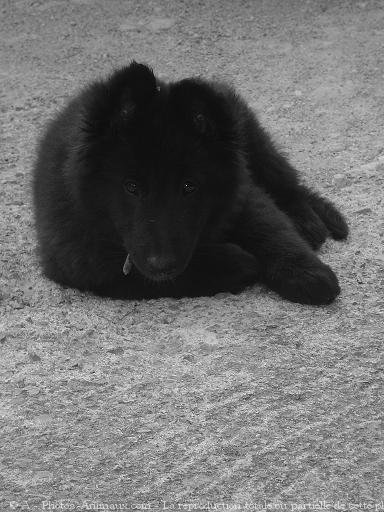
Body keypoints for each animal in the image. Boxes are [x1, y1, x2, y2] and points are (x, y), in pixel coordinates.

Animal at [33, 63, 348, 304]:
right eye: (131, 187)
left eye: (189, 187)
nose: (161, 264)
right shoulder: (81, 258)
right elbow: (149, 274)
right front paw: (239, 262)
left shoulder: (242, 194)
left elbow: (271, 229)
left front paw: (306, 273)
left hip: (251, 141)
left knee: (285, 180)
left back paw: (312, 219)